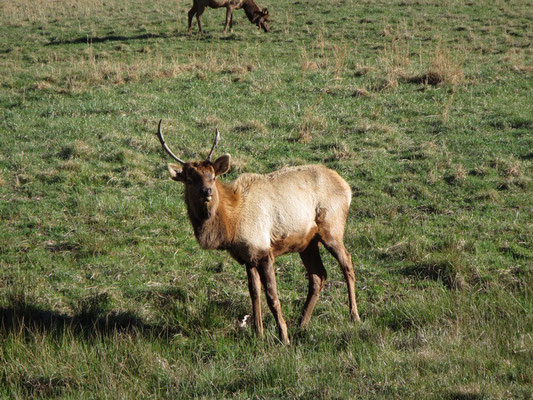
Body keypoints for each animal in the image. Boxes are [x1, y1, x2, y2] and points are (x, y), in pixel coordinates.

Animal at [156, 120, 360, 342]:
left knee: (347, 263)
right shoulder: (248, 257)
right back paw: (302, 323)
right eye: (190, 179)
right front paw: (258, 332)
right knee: (318, 275)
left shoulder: (264, 252)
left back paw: (354, 317)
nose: (206, 191)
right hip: (307, 242)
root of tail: (347, 187)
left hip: (332, 228)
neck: (232, 224)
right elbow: (254, 293)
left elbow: (272, 296)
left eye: (213, 176)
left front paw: (283, 336)